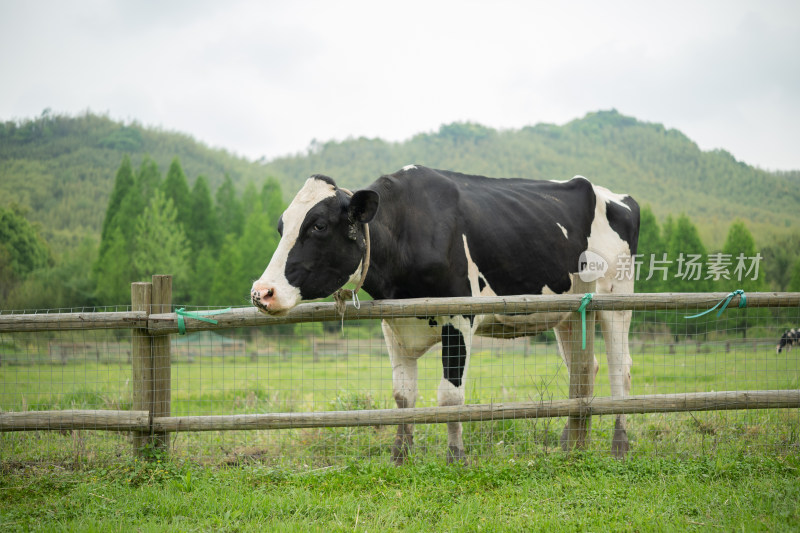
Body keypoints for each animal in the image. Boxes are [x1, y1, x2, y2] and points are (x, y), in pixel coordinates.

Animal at [253, 165, 640, 462]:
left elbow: (449, 395)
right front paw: (400, 456)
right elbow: (403, 395)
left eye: (318, 225)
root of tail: (615, 195)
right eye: (281, 227)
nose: (262, 292)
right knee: (583, 369)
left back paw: (619, 447)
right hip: (571, 310)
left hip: (616, 295)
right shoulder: (393, 324)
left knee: (620, 370)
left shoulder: (459, 316)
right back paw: (574, 446)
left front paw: (457, 457)